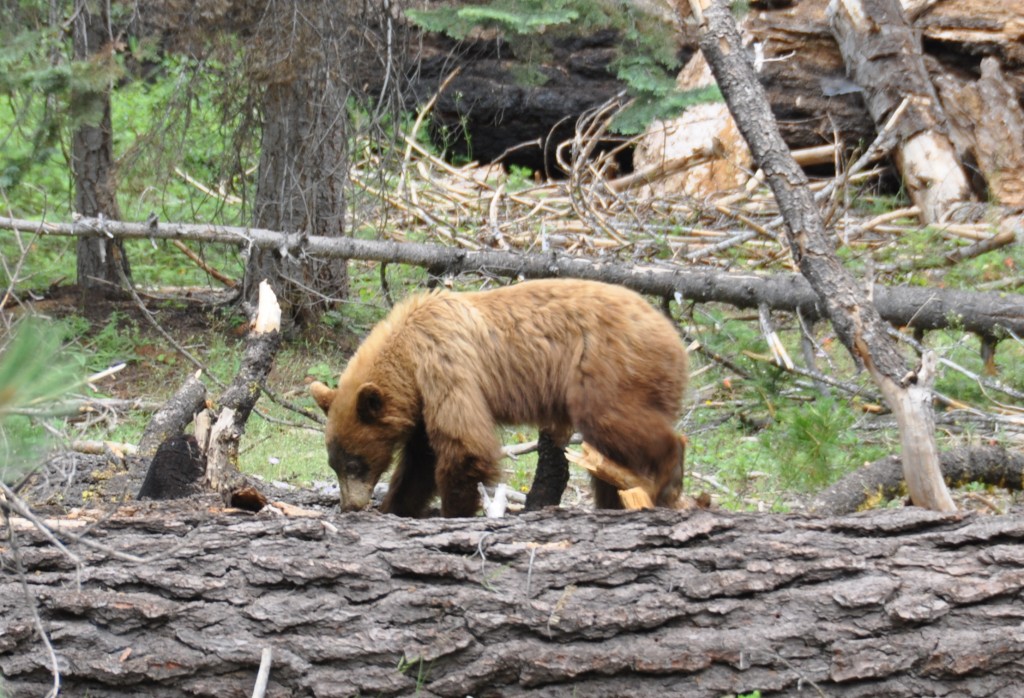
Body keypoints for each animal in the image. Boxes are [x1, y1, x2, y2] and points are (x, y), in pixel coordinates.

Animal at [305, 278, 688, 515]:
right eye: (334, 463)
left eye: (355, 463)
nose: (350, 506)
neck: (408, 356)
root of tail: (674, 339)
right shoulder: (423, 401)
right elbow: (420, 460)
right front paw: (396, 506)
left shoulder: (445, 365)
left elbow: (464, 445)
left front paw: (453, 512)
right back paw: (613, 501)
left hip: (608, 370)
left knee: (616, 422)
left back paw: (667, 479)